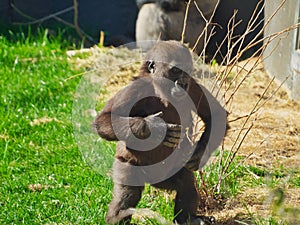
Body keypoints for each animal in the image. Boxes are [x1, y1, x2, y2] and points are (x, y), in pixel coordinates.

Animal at [94, 40, 227, 223]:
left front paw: (199, 155)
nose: (182, 82)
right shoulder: (136, 88)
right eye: (175, 70)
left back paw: (188, 219)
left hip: (168, 175)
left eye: (186, 71)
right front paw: (153, 128)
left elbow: (215, 116)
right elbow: (105, 120)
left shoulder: (193, 85)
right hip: (129, 165)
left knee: (186, 183)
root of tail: (153, 183)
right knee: (126, 197)